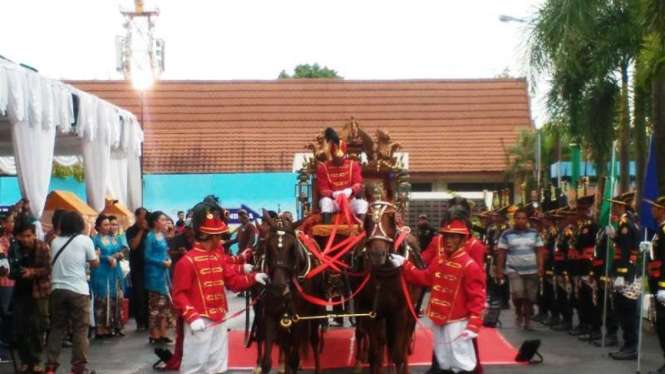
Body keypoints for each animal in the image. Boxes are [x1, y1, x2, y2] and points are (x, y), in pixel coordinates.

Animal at [258, 212, 326, 374]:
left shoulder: (299, 318)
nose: (279, 288)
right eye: (268, 247)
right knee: (286, 344)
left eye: (292, 248)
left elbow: (295, 359)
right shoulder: (271, 315)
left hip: (315, 312)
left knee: (314, 340)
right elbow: (267, 361)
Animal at [352, 202, 420, 374]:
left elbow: (397, 353)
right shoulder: (370, 310)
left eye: (391, 218)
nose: (377, 254)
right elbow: (376, 353)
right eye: (367, 219)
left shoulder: (401, 311)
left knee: (403, 343)